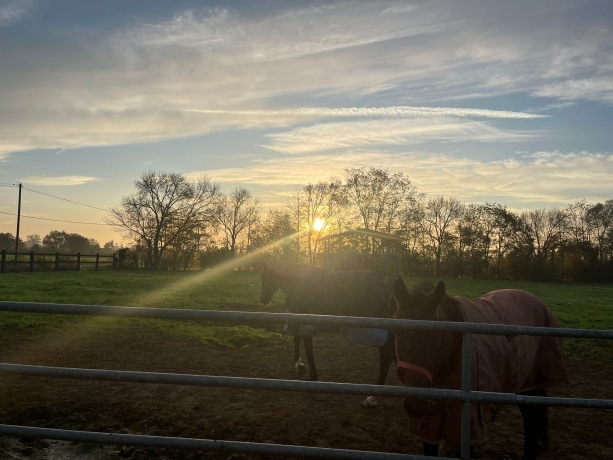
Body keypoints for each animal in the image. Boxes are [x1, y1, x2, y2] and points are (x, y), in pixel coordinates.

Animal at [260, 260, 396, 408]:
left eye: (263, 277)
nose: (263, 299)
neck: (300, 282)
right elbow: (297, 340)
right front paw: (299, 365)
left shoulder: (306, 324)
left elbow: (309, 351)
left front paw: (312, 377)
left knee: (386, 359)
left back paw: (372, 397)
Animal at [390, 278, 568, 458]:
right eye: (397, 331)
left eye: (438, 335)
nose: (416, 405)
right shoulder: (430, 425)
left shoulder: (468, 425)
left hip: (532, 385)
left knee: (531, 419)